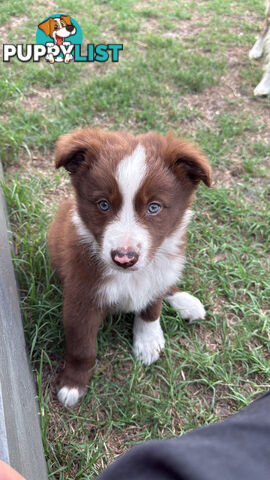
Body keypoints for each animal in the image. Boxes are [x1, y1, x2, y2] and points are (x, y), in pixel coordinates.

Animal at [49, 129, 213, 406]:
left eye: (154, 207)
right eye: (103, 204)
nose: (124, 258)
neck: (128, 276)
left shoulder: (155, 275)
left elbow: (151, 309)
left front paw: (148, 341)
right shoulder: (81, 297)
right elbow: (82, 346)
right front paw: (73, 383)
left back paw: (185, 302)